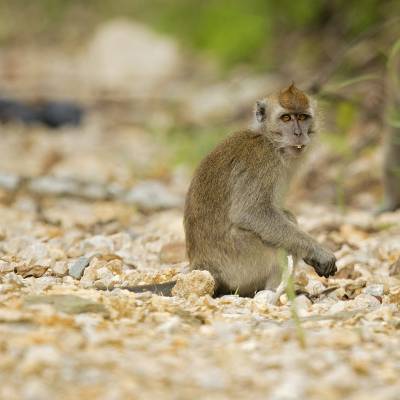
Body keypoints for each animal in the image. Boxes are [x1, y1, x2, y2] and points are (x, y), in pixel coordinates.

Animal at [98, 83, 336, 296]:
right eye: (286, 118)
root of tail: (204, 268)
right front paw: (317, 251)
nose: (298, 133)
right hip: (241, 261)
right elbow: (251, 213)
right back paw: (272, 292)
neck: (268, 140)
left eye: (302, 117)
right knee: (280, 235)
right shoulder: (262, 162)